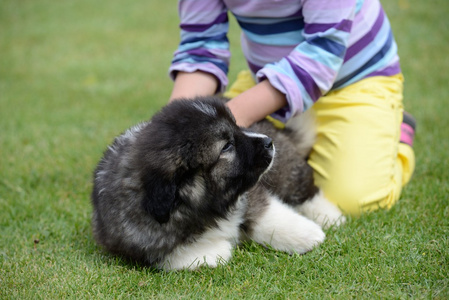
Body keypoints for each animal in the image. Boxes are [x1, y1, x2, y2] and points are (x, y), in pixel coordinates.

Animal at [91, 97, 344, 270]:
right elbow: (179, 255)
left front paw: (309, 235)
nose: (268, 142)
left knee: (304, 189)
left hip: (285, 170)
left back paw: (329, 216)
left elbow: (267, 216)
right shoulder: (138, 241)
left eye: (237, 126)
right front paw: (216, 249)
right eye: (226, 146)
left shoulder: (250, 194)